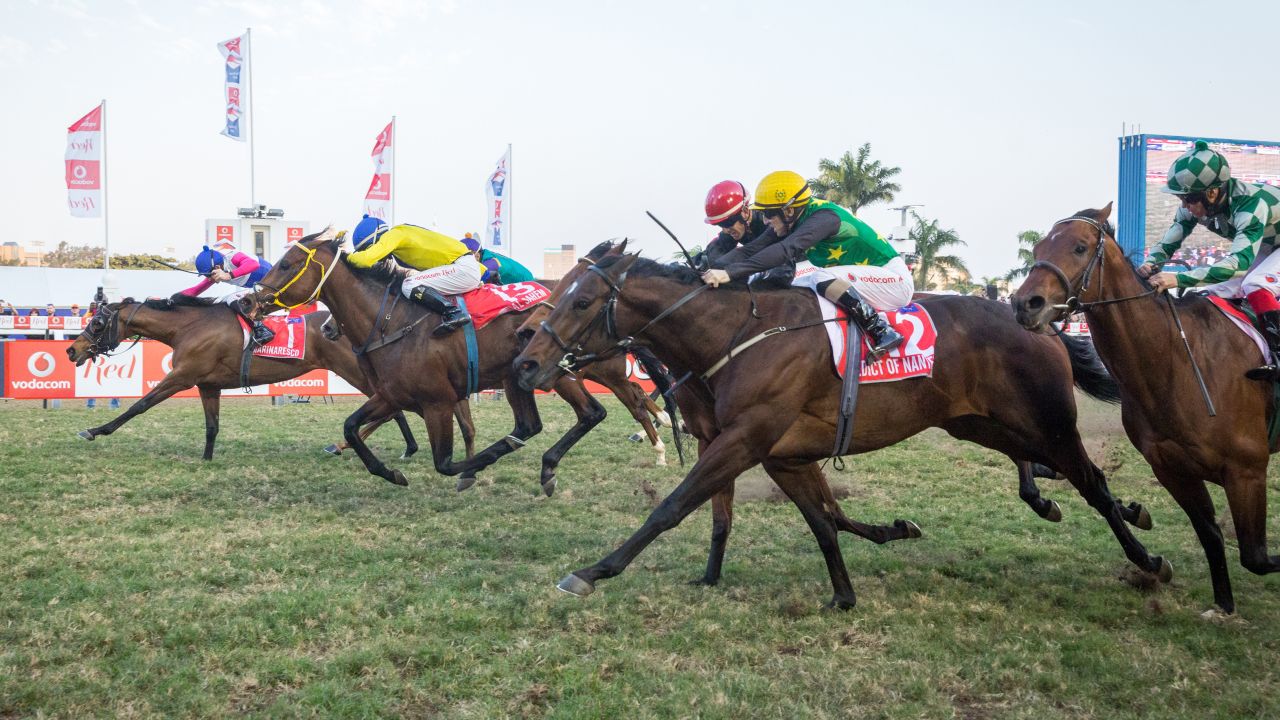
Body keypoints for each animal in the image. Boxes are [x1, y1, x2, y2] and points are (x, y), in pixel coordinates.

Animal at [63, 297, 471, 458]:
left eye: (97, 322)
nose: (72, 350)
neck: (190, 326)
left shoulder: (182, 376)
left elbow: (140, 405)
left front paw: (95, 430)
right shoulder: (208, 384)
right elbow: (211, 426)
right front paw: (207, 459)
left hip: (359, 372)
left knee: (400, 409)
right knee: (396, 409)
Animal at [250, 229, 609, 491]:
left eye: (286, 264)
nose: (252, 300)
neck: (392, 322)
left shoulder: (438, 401)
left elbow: (445, 463)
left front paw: (469, 472)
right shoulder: (391, 394)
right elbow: (351, 426)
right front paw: (389, 472)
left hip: (553, 373)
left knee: (587, 413)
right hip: (517, 377)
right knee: (538, 423)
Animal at [514, 251, 1172, 604]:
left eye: (579, 301)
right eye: (558, 291)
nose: (524, 360)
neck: (736, 334)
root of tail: (1039, 319)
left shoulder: (743, 439)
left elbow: (673, 507)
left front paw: (593, 572)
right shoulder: (778, 452)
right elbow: (821, 520)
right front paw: (844, 592)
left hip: (1044, 419)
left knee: (1088, 478)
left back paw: (1146, 556)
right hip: (977, 423)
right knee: (1055, 472)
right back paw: (1095, 510)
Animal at [1013, 203, 1274, 609]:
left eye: (1080, 248)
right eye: (1038, 247)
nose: (1025, 304)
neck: (1176, 363)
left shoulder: (1246, 470)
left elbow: (1256, 556)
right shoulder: (1172, 469)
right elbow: (1213, 537)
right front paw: (1222, 605)